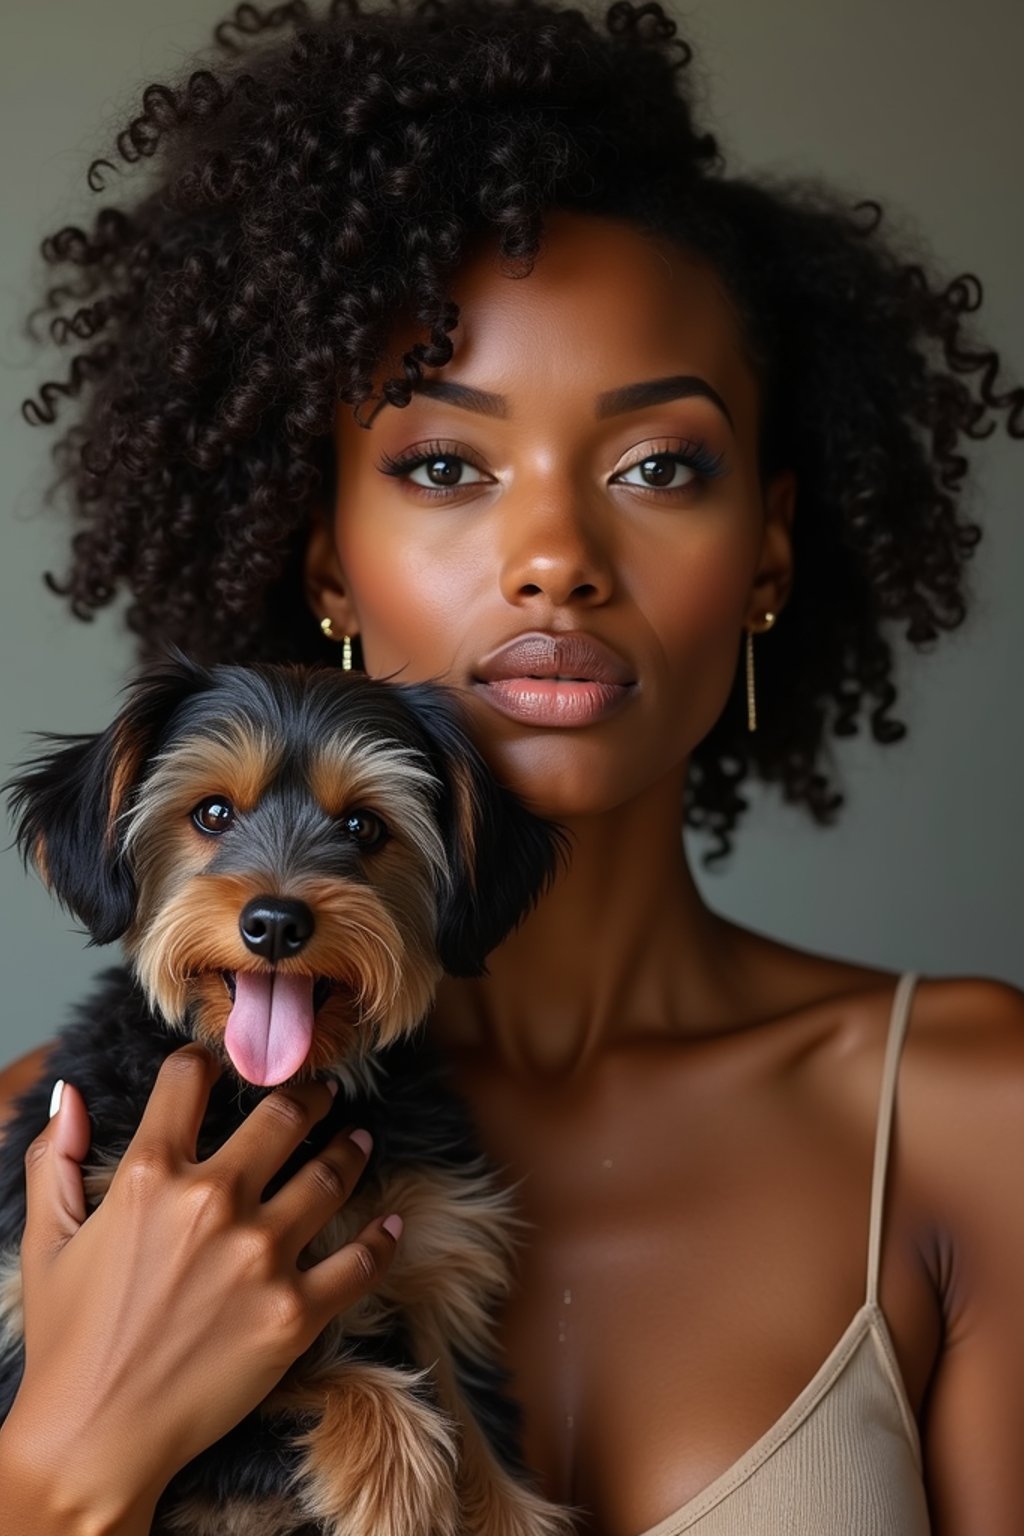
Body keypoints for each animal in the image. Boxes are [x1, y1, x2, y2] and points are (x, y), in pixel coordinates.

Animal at [0, 657, 577, 1536]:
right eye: (211, 813)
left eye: (364, 828)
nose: (275, 922)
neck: (267, 1093)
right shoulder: (52, 1335)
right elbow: (300, 1384)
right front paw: (397, 1487)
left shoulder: (436, 1257)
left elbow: (482, 1451)